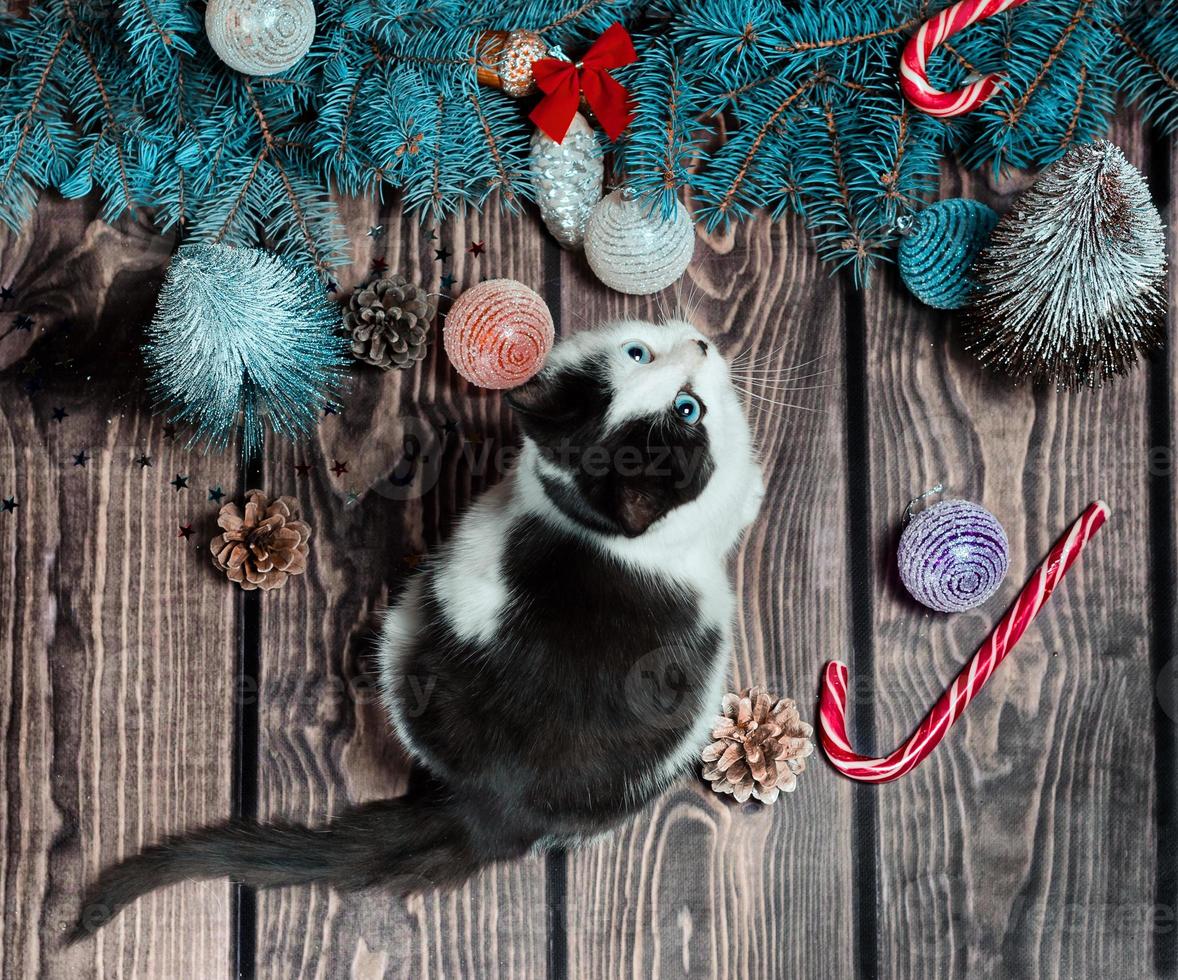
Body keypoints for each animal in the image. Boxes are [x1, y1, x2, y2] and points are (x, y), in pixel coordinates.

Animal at [71, 318, 763, 937]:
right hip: (672, 728)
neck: (586, 517)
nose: (702, 343)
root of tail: (486, 807)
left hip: (408, 632)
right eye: (685, 405)